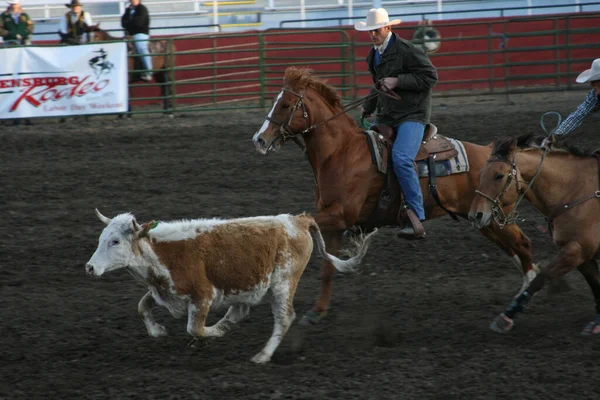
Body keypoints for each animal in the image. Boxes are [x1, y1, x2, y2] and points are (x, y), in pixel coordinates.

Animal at [85, 209, 376, 362]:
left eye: (115, 241)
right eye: (102, 238)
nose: (89, 267)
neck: (164, 253)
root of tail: (297, 220)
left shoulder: (202, 295)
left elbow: (194, 327)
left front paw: (212, 333)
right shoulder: (164, 290)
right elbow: (142, 306)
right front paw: (158, 331)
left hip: (283, 282)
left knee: (283, 318)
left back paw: (262, 354)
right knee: (240, 310)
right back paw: (227, 326)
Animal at [252, 67, 540, 326]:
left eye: (286, 104)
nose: (259, 139)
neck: (342, 153)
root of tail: (493, 154)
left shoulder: (340, 215)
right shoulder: (335, 223)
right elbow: (327, 268)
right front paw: (317, 312)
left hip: (495, 217)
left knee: (523, 244)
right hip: (482, 218)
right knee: (514, 250)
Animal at [468, 133, 600, 336]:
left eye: (499, 175)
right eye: (481, 173)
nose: (475, 215)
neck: (575, 190)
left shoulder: (576, 249)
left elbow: (540, 278)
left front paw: (505, 318)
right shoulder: (582, 253)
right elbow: (596, 283)